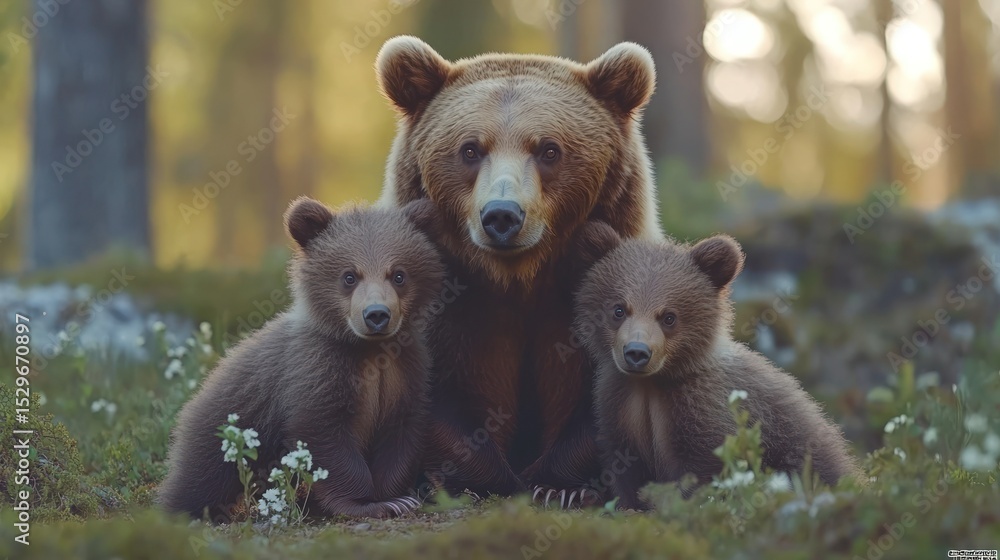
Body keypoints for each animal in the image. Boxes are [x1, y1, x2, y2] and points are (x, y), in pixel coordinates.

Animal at [158, 197, 446, 519]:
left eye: (398, 274)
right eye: (349, 276)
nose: (376, 315)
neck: (369, 350)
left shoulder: (405, 373)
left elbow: (400, 436)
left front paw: (398, 497)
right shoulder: (315, 370)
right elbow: (324, 438)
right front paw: (368, 503)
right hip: (219, 432)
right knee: (199, 479)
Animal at [374, 36, 664, 507]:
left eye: (549, 149)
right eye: (470, 149)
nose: (502, 215)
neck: (519, 278)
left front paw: (559, 485)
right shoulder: (451, 305)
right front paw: (479, 477)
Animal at [571, 223, 862, 510]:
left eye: (669, 317)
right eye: (619, 309)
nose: (637, 352)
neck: (652, 385)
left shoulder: (703, 412)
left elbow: (700, 472)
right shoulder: (619, 409)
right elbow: (626, 471)